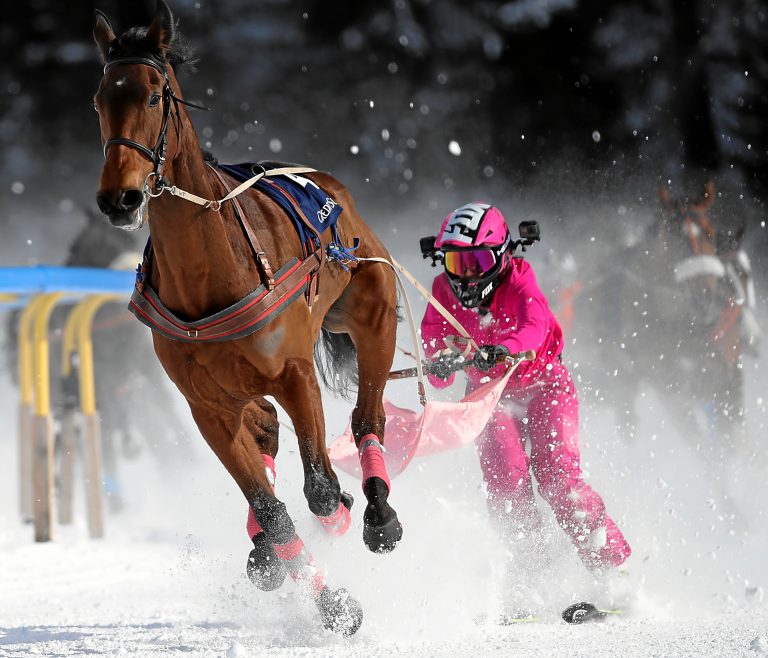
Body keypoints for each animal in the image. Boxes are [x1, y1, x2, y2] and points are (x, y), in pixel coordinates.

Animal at [93, 1, 401, 635]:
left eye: (155, 94)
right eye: (99, 99)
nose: (120, 199)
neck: (211, 269)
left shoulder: (294, 373)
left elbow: (319, 489)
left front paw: (340, 511)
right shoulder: (206, 406)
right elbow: (272, 507)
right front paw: (330, 601)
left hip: (373, 309)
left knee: (368, 417)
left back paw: (378, 513)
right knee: (265, 433)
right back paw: (265, 547)